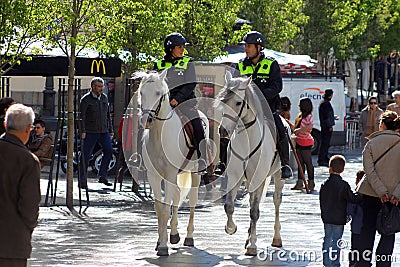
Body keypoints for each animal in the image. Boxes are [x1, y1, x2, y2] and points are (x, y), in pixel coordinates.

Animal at [138, 71, 208, 258]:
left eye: (158, 93)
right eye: (141, 93)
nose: (147, 120)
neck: (159, 136)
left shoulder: (169, 174)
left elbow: (165, 208)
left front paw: (163, 246)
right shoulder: (154, 176)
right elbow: (159, 209)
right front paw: (160, 241)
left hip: (195, 173)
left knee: (192, 201)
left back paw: (189, 237)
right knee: (176, 198)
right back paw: (175, 235)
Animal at [216, 72, 284, 256]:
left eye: (239, 102)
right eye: (223, 101)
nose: (223, 131)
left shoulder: (258, 179)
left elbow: (254, 212)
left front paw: (252, 246)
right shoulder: (234, 177)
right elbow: (229, 206)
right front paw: (231, 228)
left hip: (278, 176)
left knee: (276, 201)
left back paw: (276, 238)